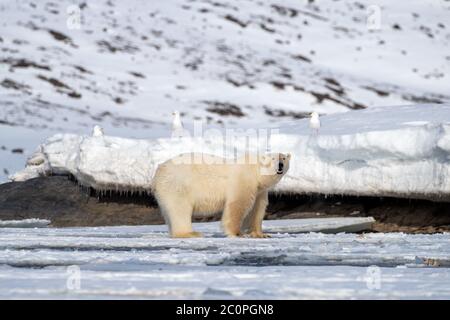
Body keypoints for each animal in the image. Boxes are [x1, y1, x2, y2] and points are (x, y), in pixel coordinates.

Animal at [152, 152, 292, 238]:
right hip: (178, 185)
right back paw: (190, 233)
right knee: (180, 209)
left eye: (283, 158)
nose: (280, 165)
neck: (256, 172)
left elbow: (257, 210)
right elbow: (238, 204)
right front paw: (238, 233)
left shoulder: (260, 191)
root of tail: (158, 171)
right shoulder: (243, 180)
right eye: (273, 158)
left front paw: (260, 234)